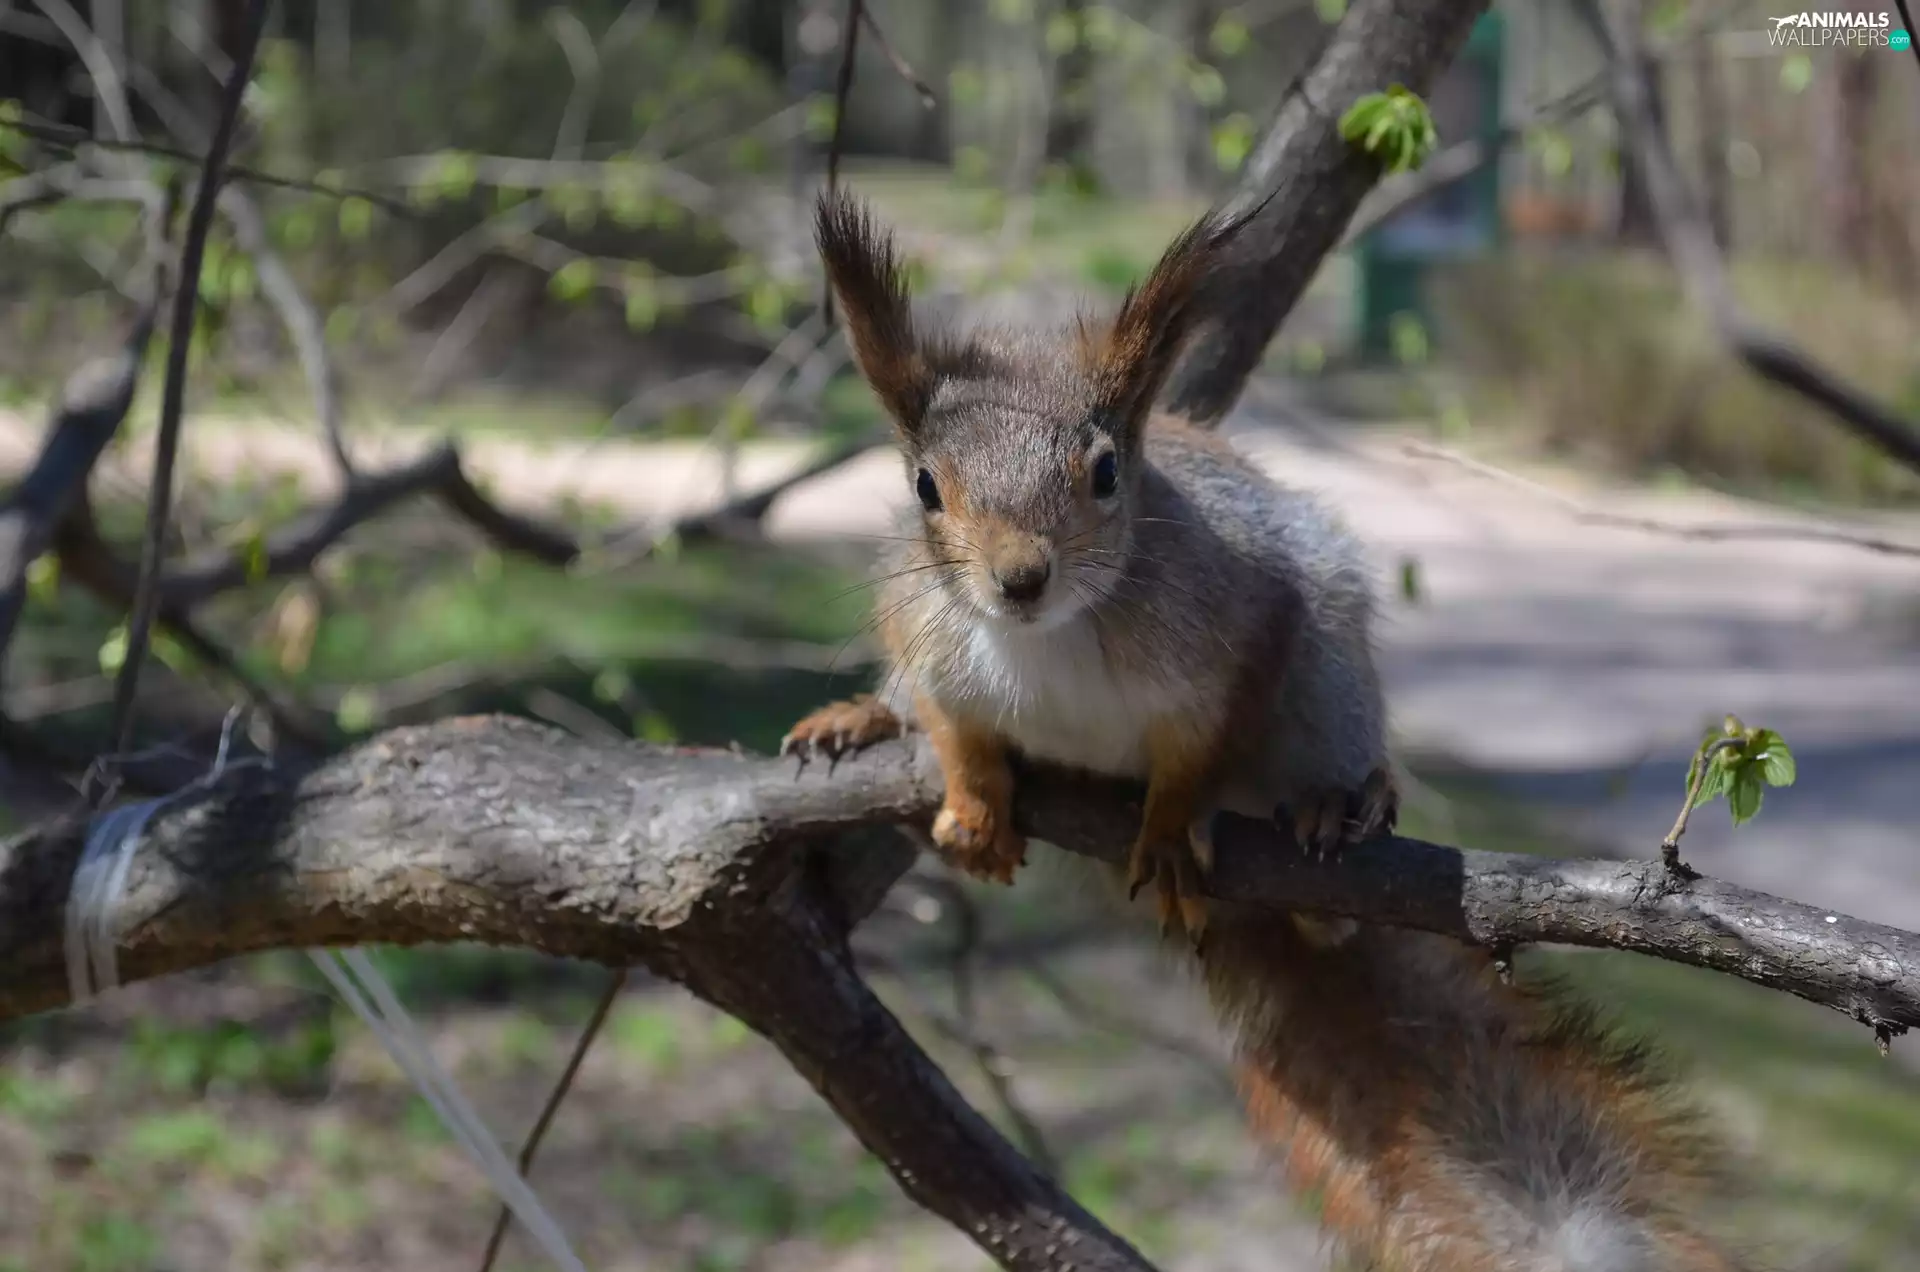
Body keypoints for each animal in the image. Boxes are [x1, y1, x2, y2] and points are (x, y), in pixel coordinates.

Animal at [782, 189, 1745, 1272]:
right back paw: (858, 719)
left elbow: (1197, 751)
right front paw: (976, 806)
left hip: (1328, 672)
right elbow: (961, 735)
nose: (1020, 578)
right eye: (923, 487)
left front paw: (1168, 831)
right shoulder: (930, 647)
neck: (1046, 638)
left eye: (1105, 472)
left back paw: (1338, 818)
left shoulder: (1234, 634)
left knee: (1324, 844)